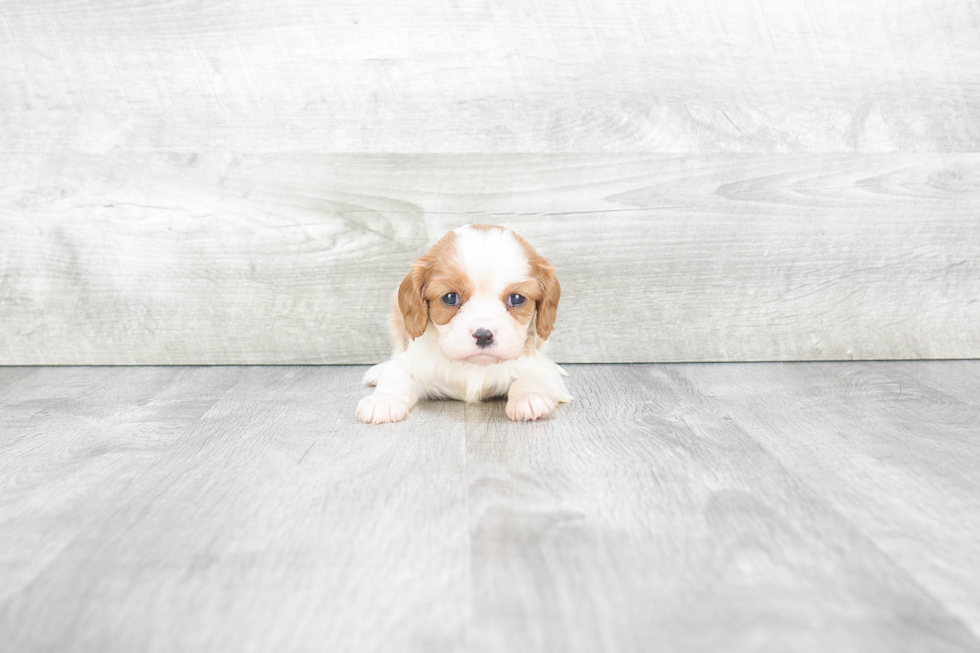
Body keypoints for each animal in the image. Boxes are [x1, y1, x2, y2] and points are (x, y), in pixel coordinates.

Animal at [356, 224, 572, 422]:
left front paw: (529, 398)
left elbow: (531, 378)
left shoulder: (540, 369)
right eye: (450, 297)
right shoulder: (413, 362)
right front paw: (383, 400)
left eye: (516, 298)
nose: (483, 335)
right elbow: (395, 376)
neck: (474, 365)